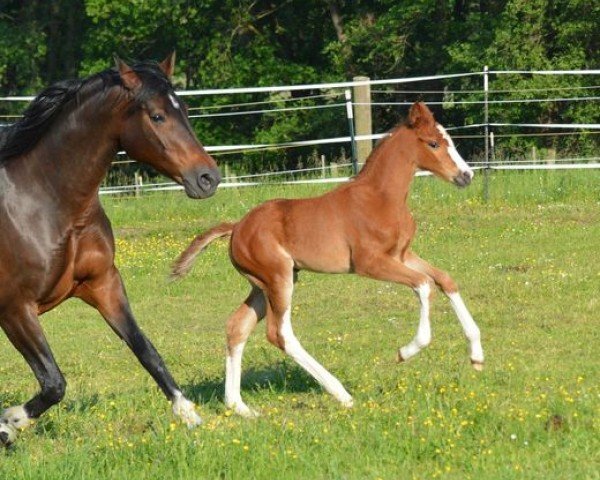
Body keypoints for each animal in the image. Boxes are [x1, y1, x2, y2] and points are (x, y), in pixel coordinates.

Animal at [0, 53, 220, 446]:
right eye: (157, 115)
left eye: (184, 109)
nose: (208, 178)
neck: (45, 201)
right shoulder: (15, 308)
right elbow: (54, 382)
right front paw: (9, 423)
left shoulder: (103, 284)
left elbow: (146, 350)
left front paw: (188, 414)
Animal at [172, 102, 482, 416]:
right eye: (433, 143)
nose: (466, 175)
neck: (380, 197)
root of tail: (236, 227)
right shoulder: (370, 263)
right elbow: (423, 284)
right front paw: (406, 351)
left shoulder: (401, 255)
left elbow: (444, 280)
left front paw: (477, 355)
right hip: (278, 278)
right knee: (280, 333)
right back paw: (340, 393)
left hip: (263, 285)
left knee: (237, 327)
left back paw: (240, 407)